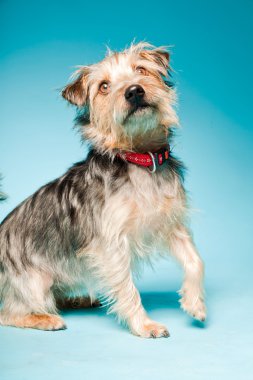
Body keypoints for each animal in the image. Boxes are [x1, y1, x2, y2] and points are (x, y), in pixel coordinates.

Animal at [0, 42, 206, 338]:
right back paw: (44, 319)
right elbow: (127, 287)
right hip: (33, 282)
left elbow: (195, 260)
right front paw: (144, 325)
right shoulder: (111, 245)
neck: (140, 160)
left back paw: (79, 299)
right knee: (9, 312)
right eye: (104, 87)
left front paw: (194, 302)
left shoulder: (173, 223)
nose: (134, 91)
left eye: (141, 70)